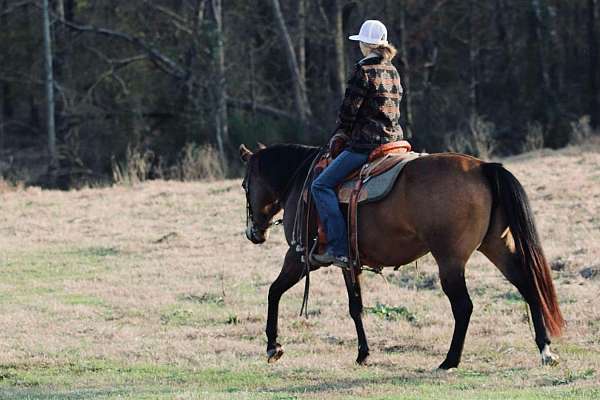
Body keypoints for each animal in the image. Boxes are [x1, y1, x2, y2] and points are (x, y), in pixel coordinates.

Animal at [238, 143, 564, 368]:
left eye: (244, 185)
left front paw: (273, 346)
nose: (254, 233)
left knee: (463, 307)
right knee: (528, 286)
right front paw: (363, 354)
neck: (301, 182)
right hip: (496, 246)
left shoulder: (298, 257)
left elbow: (273, 292)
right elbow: (356, 307)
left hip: (450, 260)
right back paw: (545, 349)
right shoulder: (348, 262)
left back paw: (450, 360)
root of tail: (483, 167)